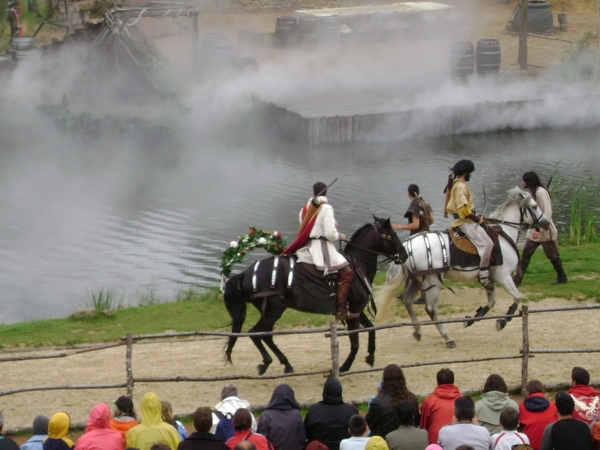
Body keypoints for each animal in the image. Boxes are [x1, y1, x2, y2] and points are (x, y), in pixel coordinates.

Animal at [223, 216, 406, 374]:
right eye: (391, 235)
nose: (403, 255)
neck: (357, 265)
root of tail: (246, 274)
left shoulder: (356, 311)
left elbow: (371, 329)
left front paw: (371, 356)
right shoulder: (353, 312)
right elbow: (355, 343)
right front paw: (344, 367)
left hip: (271, 312)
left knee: (265, 335)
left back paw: (285, 364)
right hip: (273, 310)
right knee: (256, 333)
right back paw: (268, 362)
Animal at [378, 186, 552, 348]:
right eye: (535, 206)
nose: (546, 223)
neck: (503, 234)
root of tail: (406, 246)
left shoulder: (490, 279)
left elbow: (492, 302)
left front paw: (471, 319)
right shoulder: (503, 276)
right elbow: (517, 297)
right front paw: (503, 321)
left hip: (416, 279)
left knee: (407, 300)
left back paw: (418, 330)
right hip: (432, 281)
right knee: (431, 309)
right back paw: (447, 337)